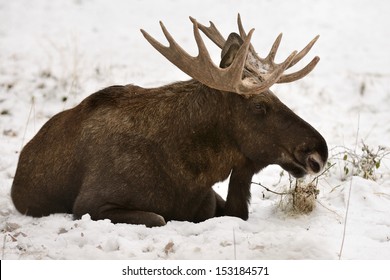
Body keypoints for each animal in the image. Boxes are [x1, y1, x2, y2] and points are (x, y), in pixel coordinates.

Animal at [10, 15, 328, 228]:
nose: (319, 149)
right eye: (260, 106)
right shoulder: (90, 204)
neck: (190, 174)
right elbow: (158, 218)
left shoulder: (211, 199)